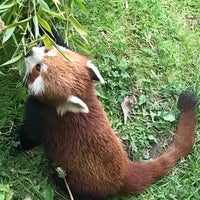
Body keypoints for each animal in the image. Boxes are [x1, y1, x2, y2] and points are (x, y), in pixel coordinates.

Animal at [20, 46, 197, 199]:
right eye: (46, 49)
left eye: (38, 68)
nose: (29, 52)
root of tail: (125, 172)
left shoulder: (46, 118)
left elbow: (31, 136)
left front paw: (19, 144)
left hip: (84, 183)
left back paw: (58, 183)